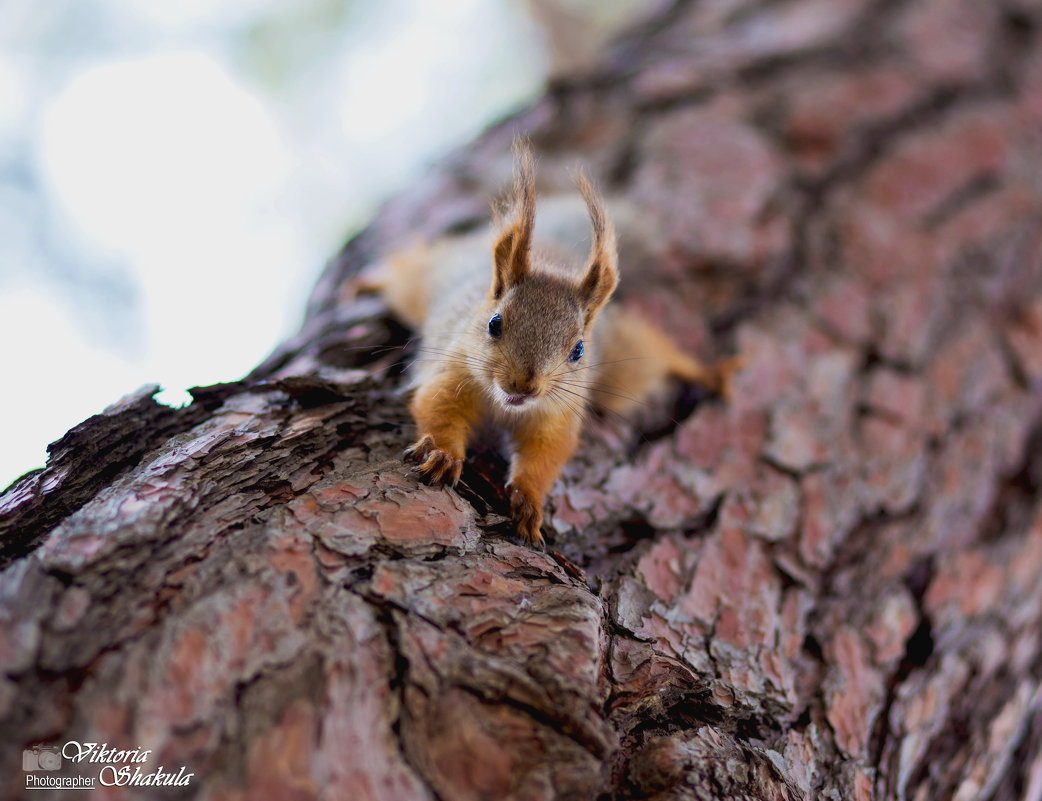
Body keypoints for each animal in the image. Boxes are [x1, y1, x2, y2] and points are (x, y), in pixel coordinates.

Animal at [358, 139, 741, 549]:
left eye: (578, 350)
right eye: (494, 324)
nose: (523, 386)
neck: (506, 409)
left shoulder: (558, 414)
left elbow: (546, 454)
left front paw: (529, 501)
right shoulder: (452, 371)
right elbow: (437, 407)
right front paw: (444, 455)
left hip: (624, 359)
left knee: (660, 354)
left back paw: (710, 372)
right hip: (426, 281)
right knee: (405, 269)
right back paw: (365, 282)